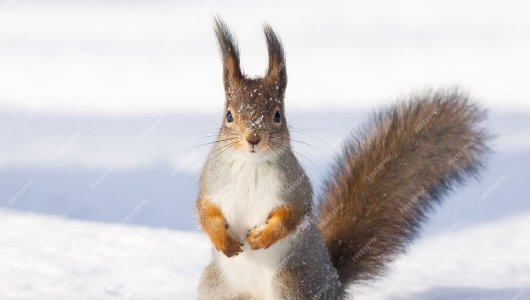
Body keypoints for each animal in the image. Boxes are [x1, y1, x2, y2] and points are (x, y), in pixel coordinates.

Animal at [195, 18, 486, 300]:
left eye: (278, 115)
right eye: (229, 116)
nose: (253, 138)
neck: (251, 164)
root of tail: (334, 281)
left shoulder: (295, 189)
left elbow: (293, 215)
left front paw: (260, 238)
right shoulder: (211, 184)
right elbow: (205, 212)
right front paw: (223, 240)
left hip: (291, 283)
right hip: (215, 286)